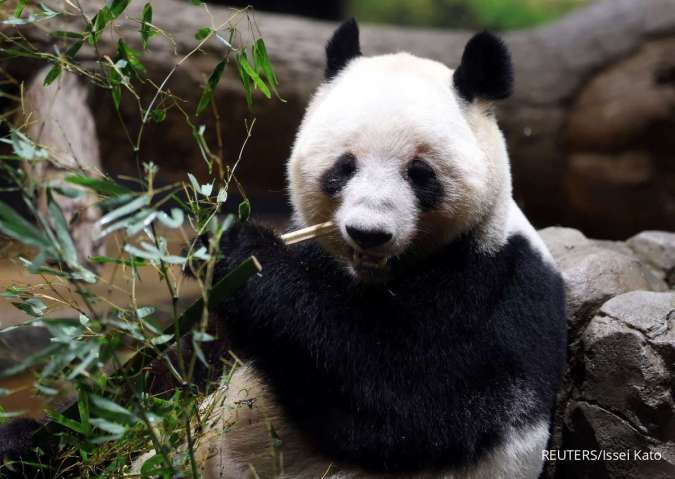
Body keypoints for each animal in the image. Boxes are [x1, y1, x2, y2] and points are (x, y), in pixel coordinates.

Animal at [178, 19, 567, 479]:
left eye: (420, 173)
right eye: (344, 166)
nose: (368, 233)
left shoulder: (489, 289)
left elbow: (401, 402)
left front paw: (243, 253)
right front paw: (208, 247)